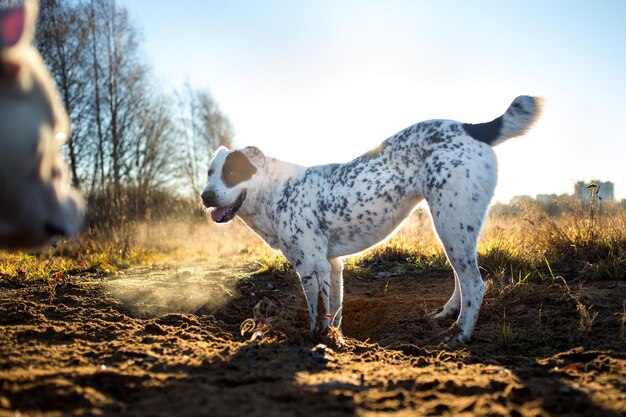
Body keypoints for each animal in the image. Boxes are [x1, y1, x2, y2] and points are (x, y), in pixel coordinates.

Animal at [201, 96, 540, 342]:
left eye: (233, 173)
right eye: (209, 172)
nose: (205, 197)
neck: (276, 190)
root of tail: (471, 127)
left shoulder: (311, 266)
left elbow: (317, 314)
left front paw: (317, 341)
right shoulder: (332, 265)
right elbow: (334, 311)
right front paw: (337, 339)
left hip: (450, 223)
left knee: (475, 285)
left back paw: (458, 334)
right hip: (454, 228)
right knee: (462, 277)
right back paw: (447, 314)